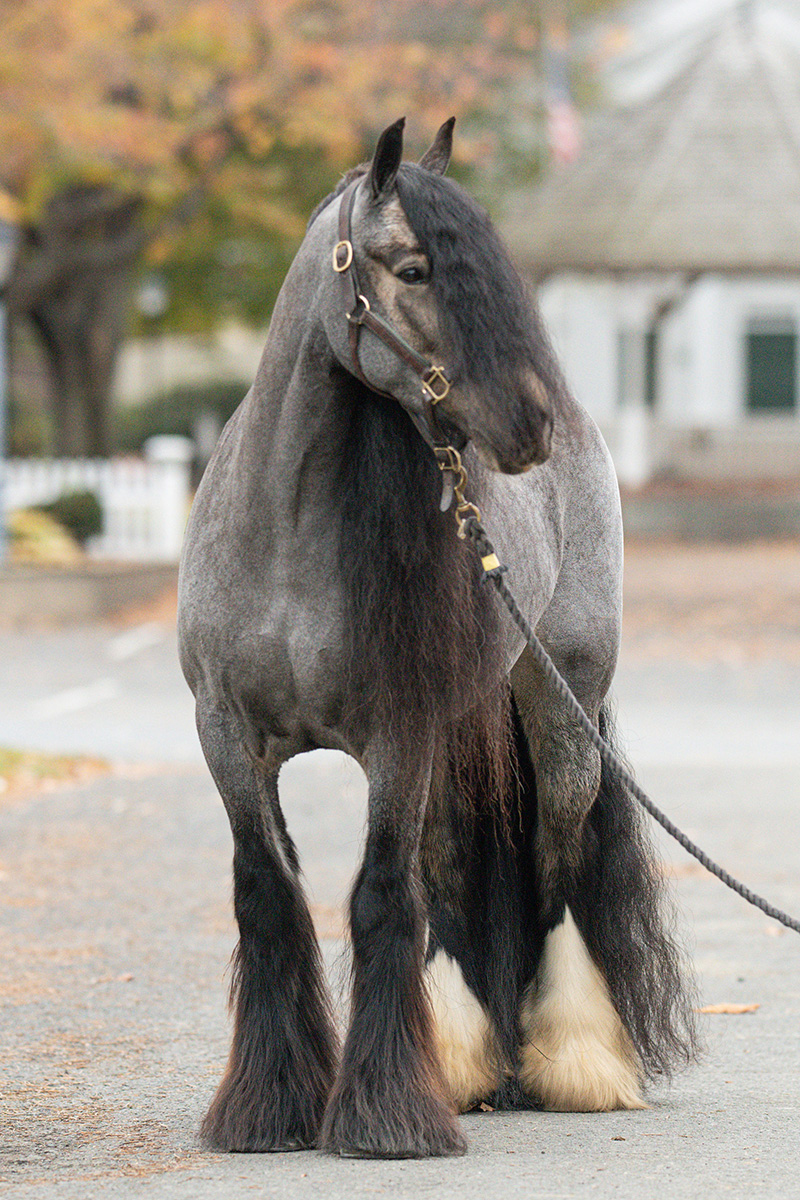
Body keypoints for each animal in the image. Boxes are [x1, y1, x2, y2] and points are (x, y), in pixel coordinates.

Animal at [178, 117, 695, 1156]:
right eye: (414, 268)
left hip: (559, 711)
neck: (283, 537)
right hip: (460, 735)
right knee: (454, 869)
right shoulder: (227, 739)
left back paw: (564, 1062)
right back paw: (466, 1064)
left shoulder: (396, 735)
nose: (532, 422)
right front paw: (269, 1105)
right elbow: (269, 894)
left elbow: (381, 896)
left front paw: (384, 1119)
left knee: (553, 864)